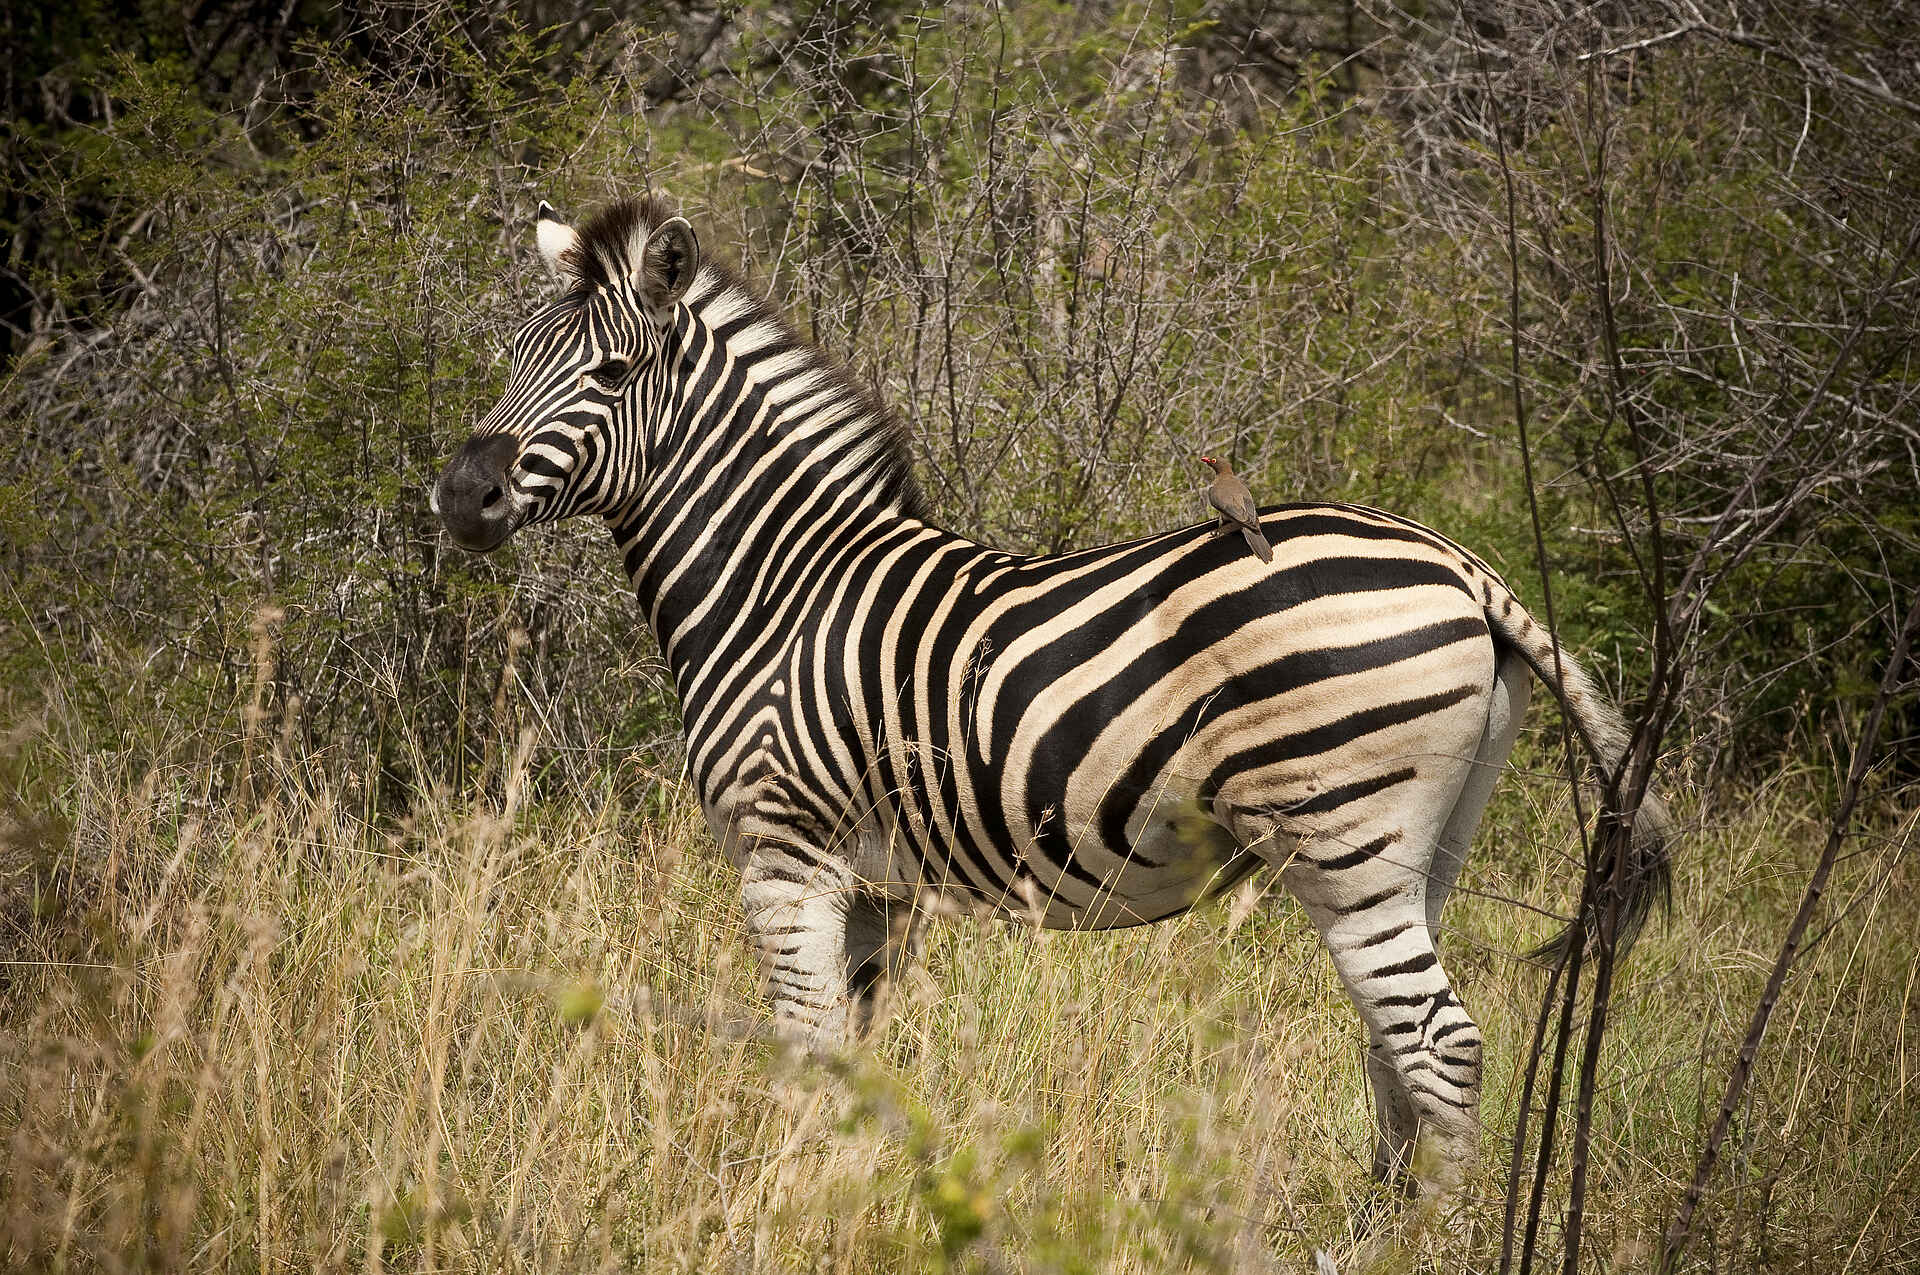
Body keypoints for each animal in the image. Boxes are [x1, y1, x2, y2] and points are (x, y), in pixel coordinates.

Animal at [431, 194, 1672, 1200]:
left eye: (608, 376)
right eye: (509, 357)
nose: (459, 494)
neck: (780, 583)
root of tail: (1464, 568)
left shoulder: (784, 853)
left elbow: (805, 1050)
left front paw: (784, 1203)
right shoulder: (878, 886)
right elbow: (856, 1056)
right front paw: (851, 1194)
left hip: (1342, 829)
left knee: (1439, 1044)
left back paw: (1438, 1235)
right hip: (1421, 842)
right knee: (1395, 1038)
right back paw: (1381, 1226)